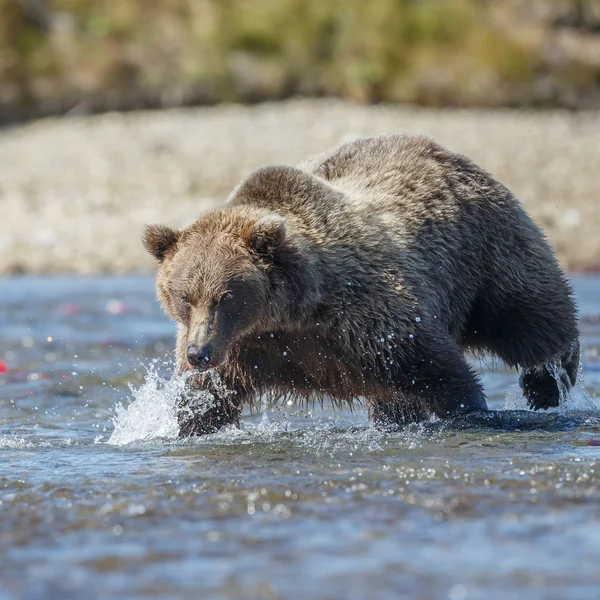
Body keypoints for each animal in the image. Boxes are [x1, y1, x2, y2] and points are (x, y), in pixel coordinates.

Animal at [143, 135, 580, 436]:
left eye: (226, 296)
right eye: (184, 297)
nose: (199, 353)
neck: (295, 312)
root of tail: (449, 153)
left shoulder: (368, 318)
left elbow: (437, 369)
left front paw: (472, 410)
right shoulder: (247, 348)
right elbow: (206, 397)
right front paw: (185, 424)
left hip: (487, 255)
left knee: (530, 318)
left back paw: (549, 384)